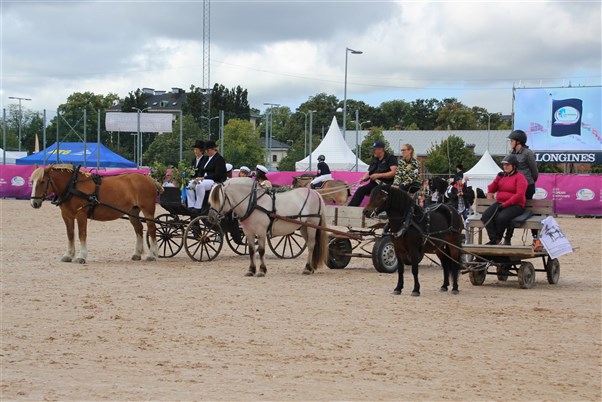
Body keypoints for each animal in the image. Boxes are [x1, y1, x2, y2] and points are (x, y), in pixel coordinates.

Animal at [29, 164, 163, 264]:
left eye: (42, 182)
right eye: (31, 182)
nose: (34, 203)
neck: (73, 186)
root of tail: (149, 179)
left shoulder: (81, 214)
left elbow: (81, 235)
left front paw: (81, 256)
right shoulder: (67, 216)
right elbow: (70, 235)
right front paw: (68, 255)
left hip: (148, 210)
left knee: (152, 229)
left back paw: (152, 254)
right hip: (132, 211)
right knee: (139, 229)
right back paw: (137, 253)